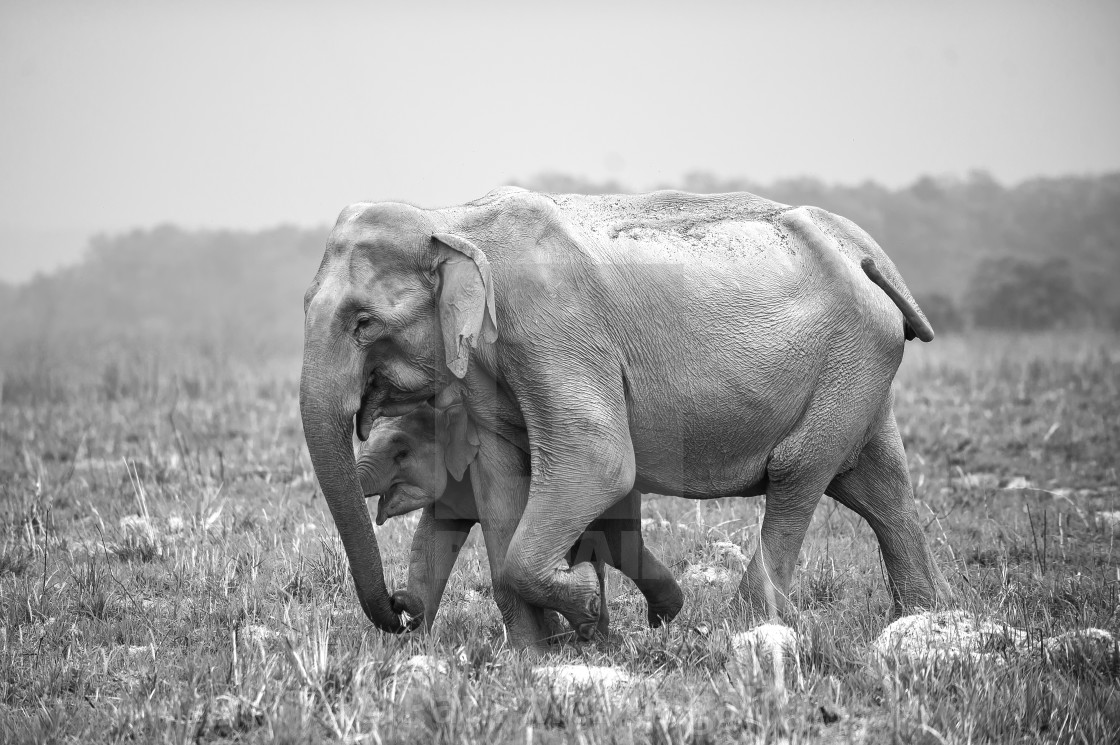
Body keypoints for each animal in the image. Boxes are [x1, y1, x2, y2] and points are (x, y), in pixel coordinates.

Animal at [353, 403, 680, 636]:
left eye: (401, 453)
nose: (396, 599)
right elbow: (429, 546)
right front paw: (413, 647)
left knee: (614, 543)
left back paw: (651, 619)